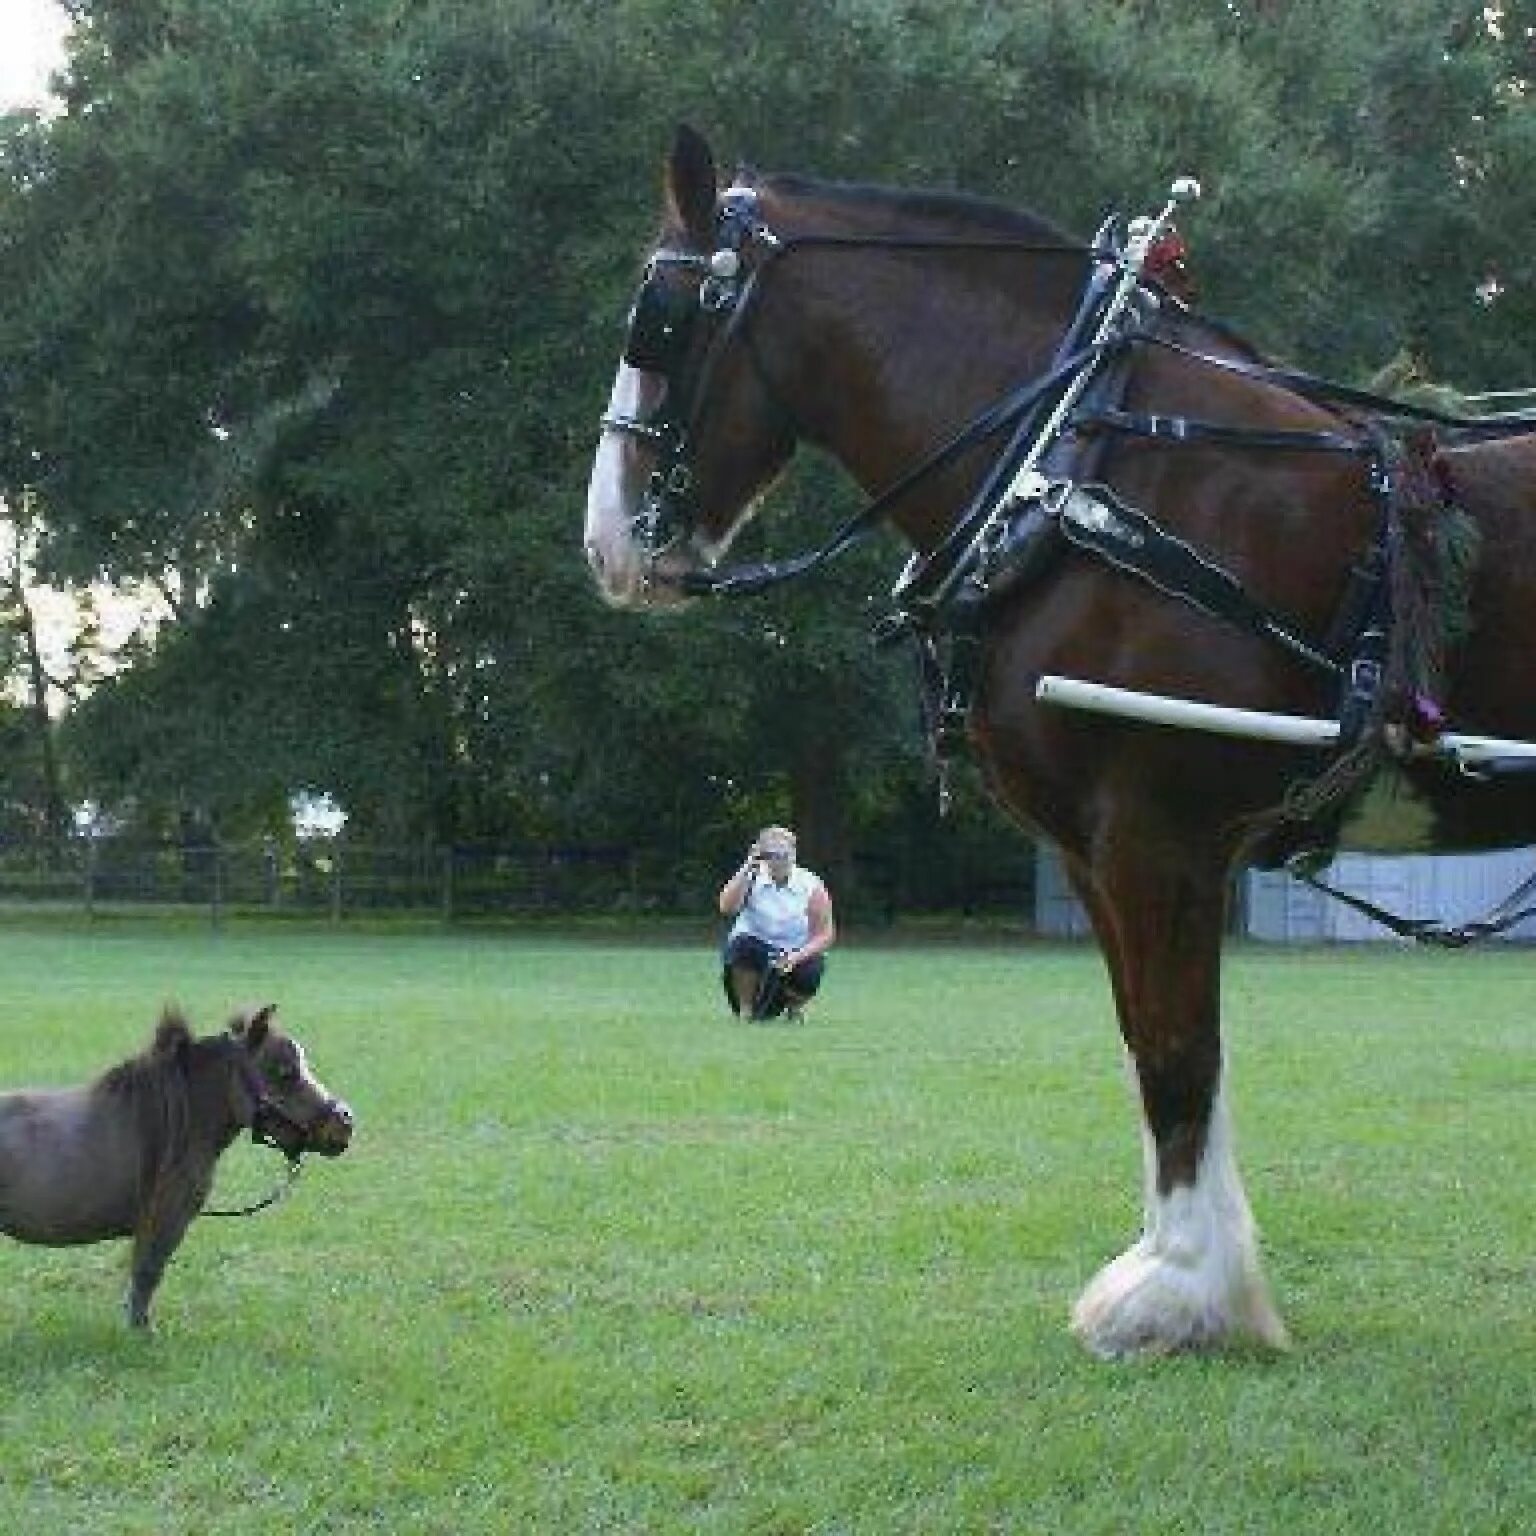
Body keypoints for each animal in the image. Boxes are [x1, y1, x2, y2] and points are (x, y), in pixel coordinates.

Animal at [580, 129, 1536, 1357]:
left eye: (658, 318)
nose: (606, 542)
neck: (1077, 472)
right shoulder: (1099, 854)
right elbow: (1150, 1046)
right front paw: (1191, 1271)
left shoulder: (1158, 837)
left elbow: (1179, 1053)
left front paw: (1179, 1292)